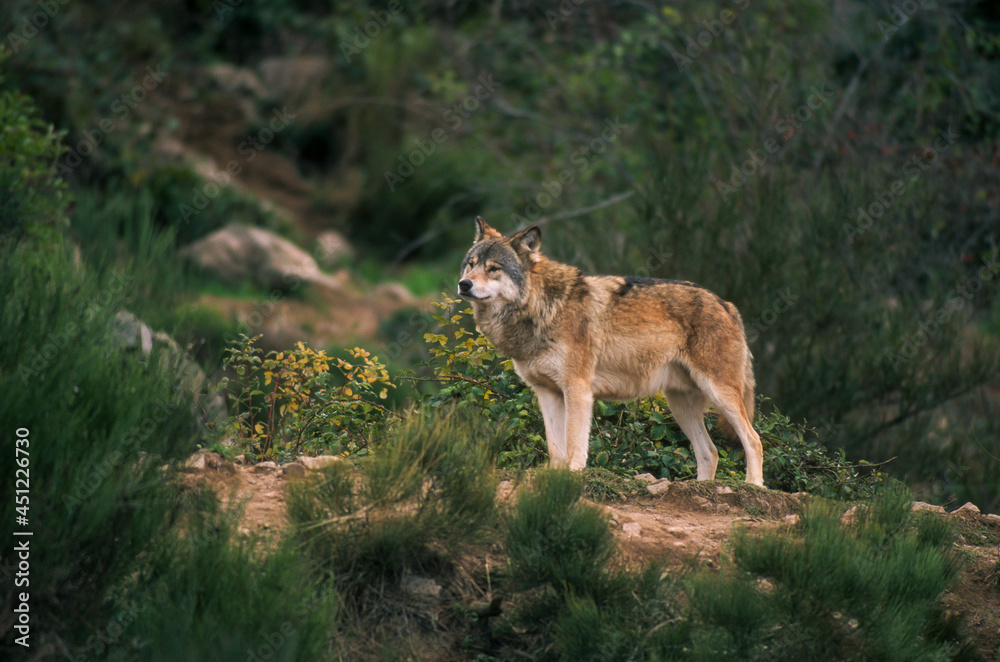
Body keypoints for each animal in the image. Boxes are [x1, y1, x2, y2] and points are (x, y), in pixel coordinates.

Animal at [457, 217, 764, 486]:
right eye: (470, 265)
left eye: (494, 268)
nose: (464, 284)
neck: (542, 307)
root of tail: (727, 305)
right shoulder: (546, 393)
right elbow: (555, 448)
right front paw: (555, 479)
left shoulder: (578, 389)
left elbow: (573, 442)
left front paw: (574, 476)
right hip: (680, 406)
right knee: (709, 452)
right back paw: (701, 489)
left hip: (718, 393)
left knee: (753, 439)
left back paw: (753, 486)